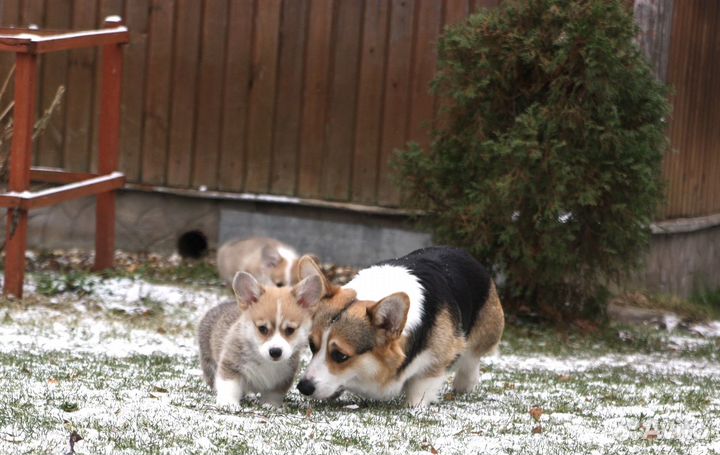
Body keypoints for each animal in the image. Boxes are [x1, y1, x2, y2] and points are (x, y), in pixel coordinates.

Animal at [197, 270, 320, 406]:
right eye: (262, 328)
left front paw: (270, 405)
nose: (275, 352)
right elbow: (230, 386)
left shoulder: (283, 378)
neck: (264, 359)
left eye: (290, 330)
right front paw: (229, 404)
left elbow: (273, 395)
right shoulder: (231, 364)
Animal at [296, 248, 504, 408]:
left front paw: (414, 407)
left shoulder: (440, 356)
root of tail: (465, 254)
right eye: (312, 346)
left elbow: (422, 384)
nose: (303, 387)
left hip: (486, 332)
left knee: (472, 357)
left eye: (340, 356)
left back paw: (464, 384)